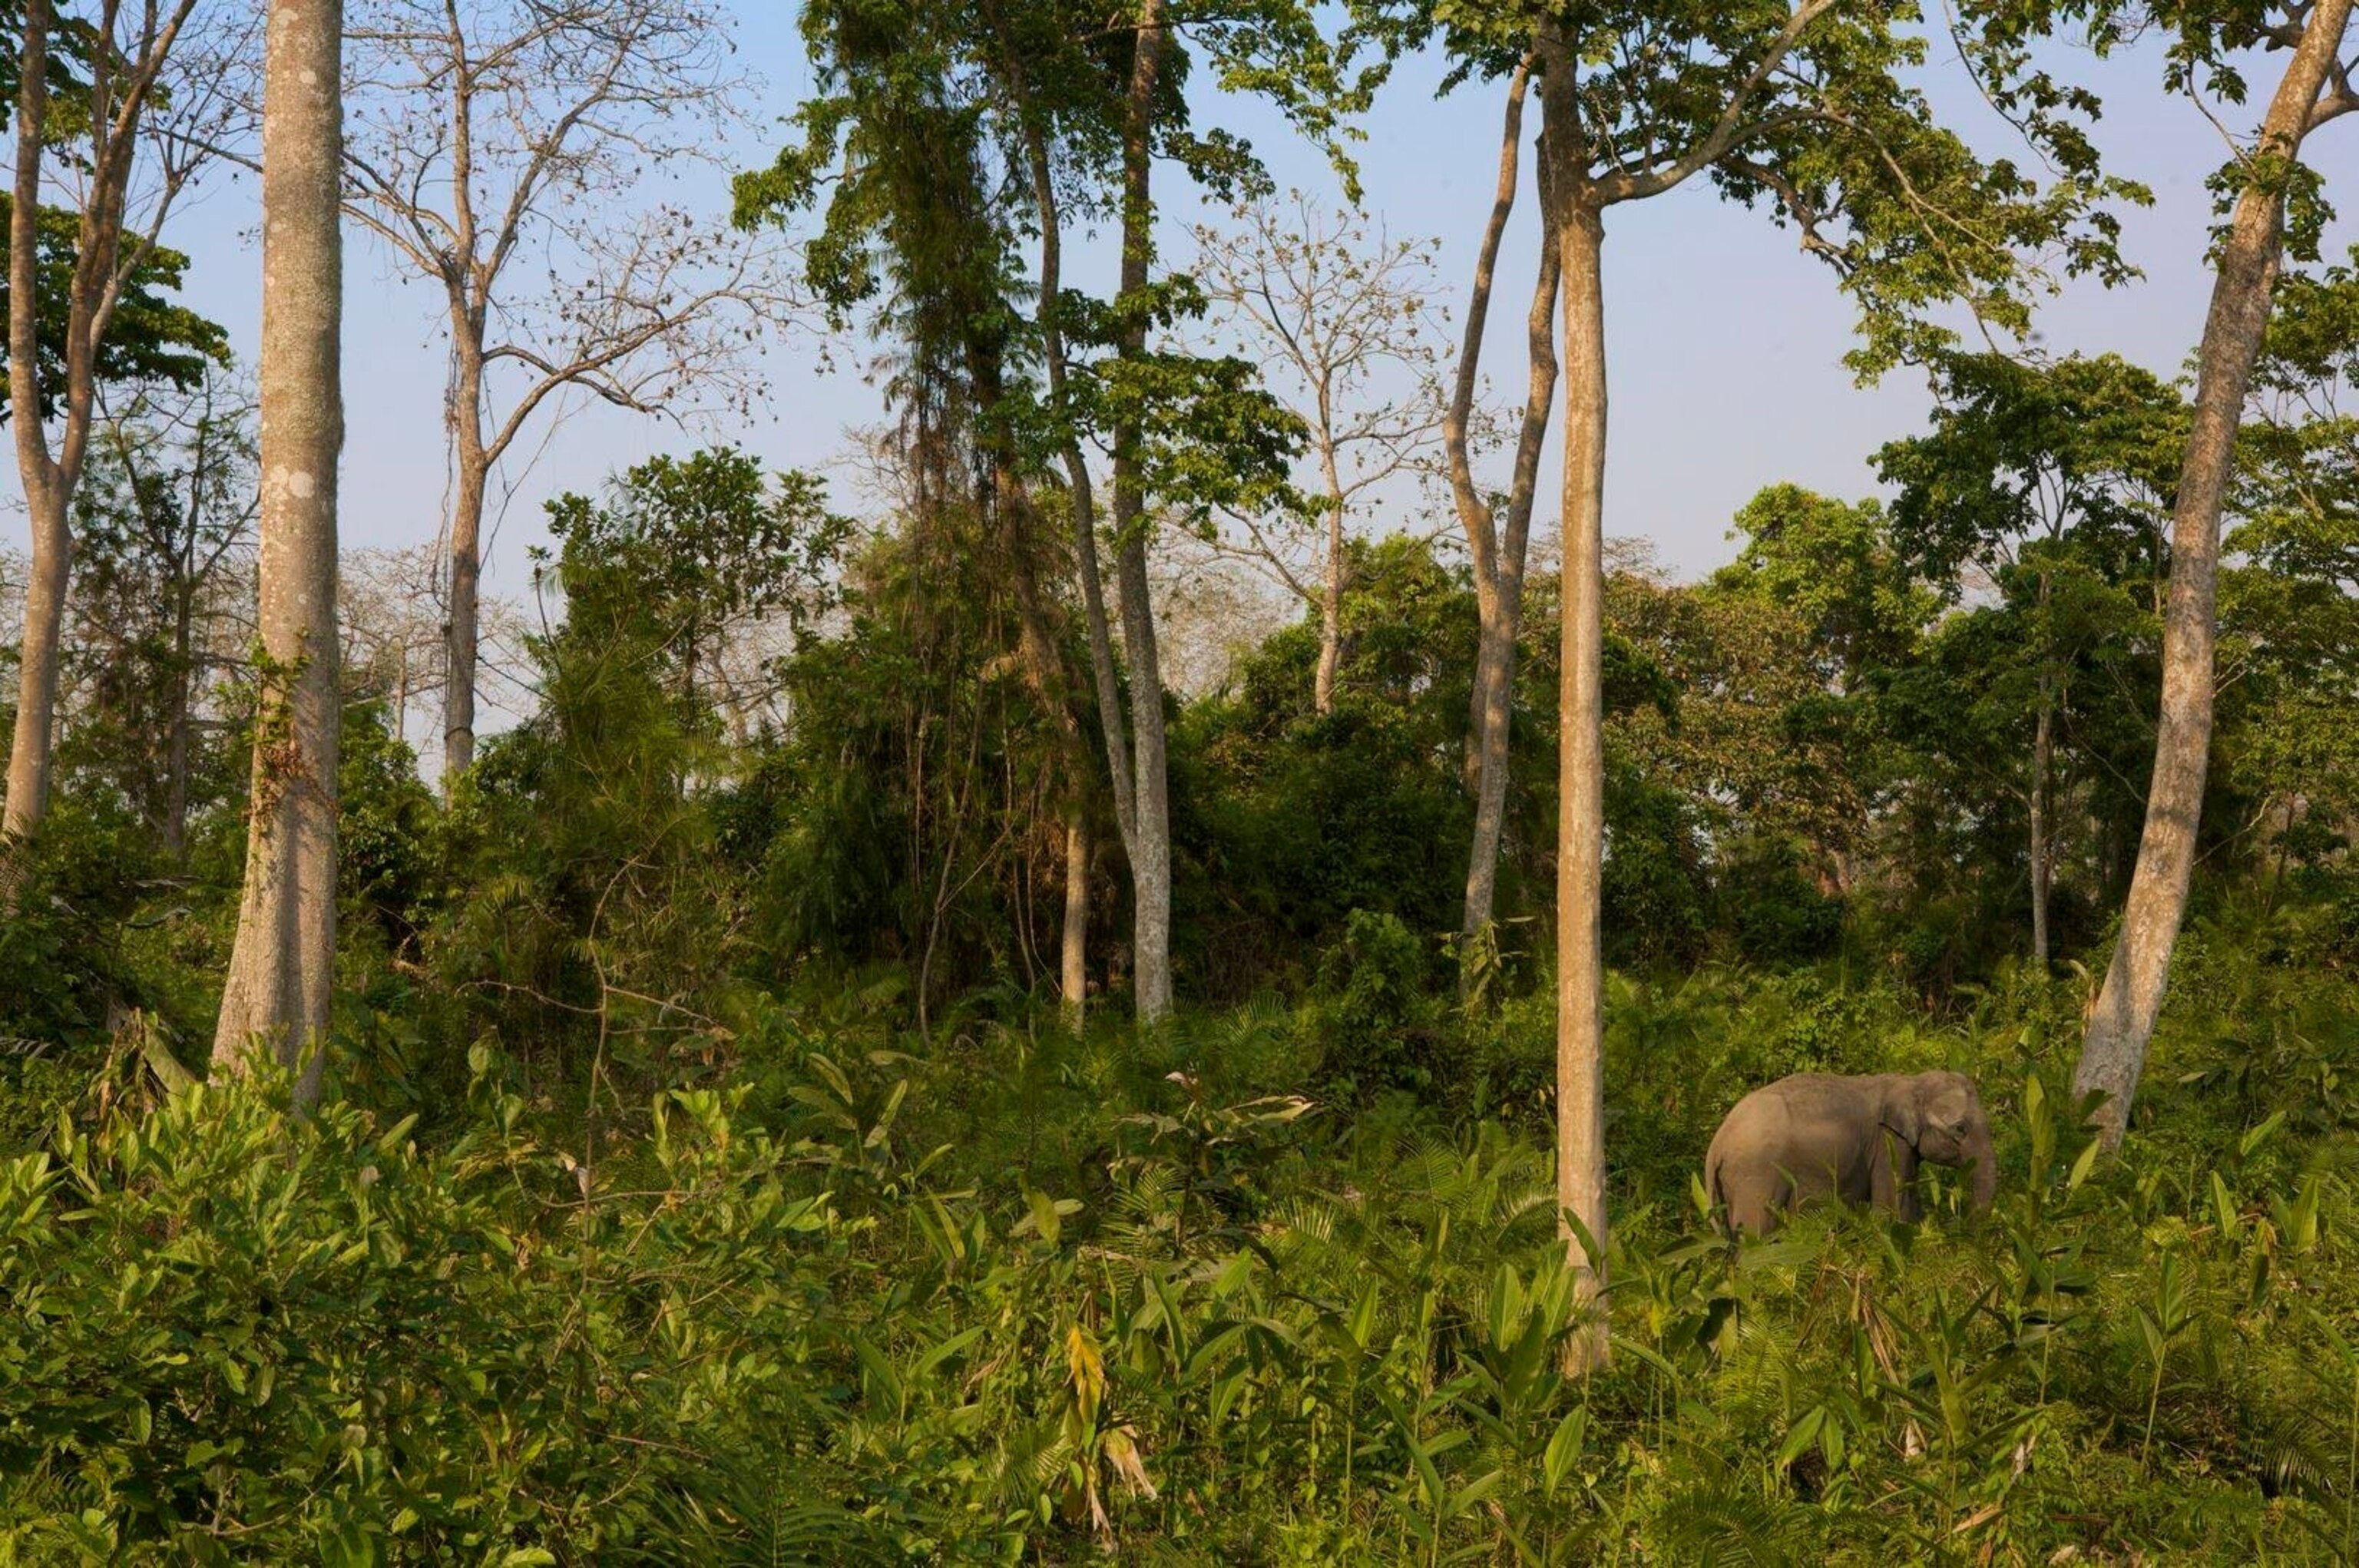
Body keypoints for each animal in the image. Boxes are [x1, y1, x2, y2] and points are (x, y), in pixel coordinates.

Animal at [1704, 1070, 1997, 1236]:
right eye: (1960, 1129)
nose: (1957, 1227)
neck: (1911, 1082)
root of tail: (1717, 1143)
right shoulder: (1888, 1142)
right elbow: (1892, 1209)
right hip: (1756, 1174)